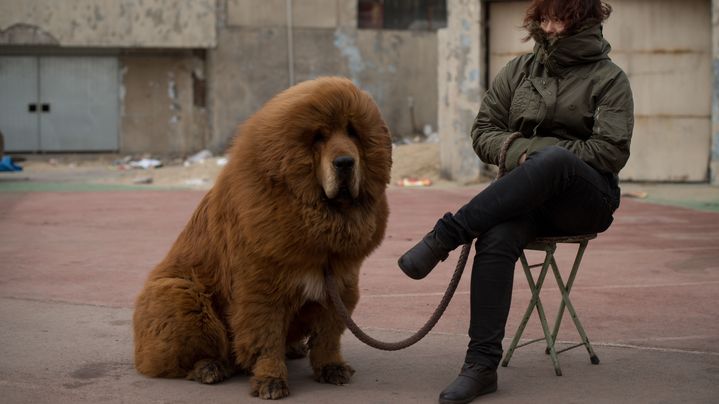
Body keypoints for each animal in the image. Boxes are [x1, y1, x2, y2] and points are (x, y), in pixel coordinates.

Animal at [135, 77, 394, 400]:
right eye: (319, 137)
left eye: (352, 132)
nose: (345, 162)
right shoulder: (261, 289)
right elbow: (265, 338)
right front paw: (270, 380)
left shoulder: (341, 284)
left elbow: (328, 335)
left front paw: (331, 367)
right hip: (179, 293)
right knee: (189, 354)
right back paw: (209, 368)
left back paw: (293, 349)